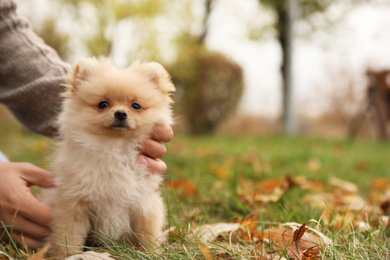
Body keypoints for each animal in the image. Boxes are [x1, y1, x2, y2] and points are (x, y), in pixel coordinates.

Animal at [42, 58, 175, 258]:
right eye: (103, 104)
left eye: (136, 106)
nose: (120, 113)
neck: (114, 148)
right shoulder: (73, 205)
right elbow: (67, 238)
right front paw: (67, 256)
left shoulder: (144, 203)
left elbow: (147, 237)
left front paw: (150, 254)